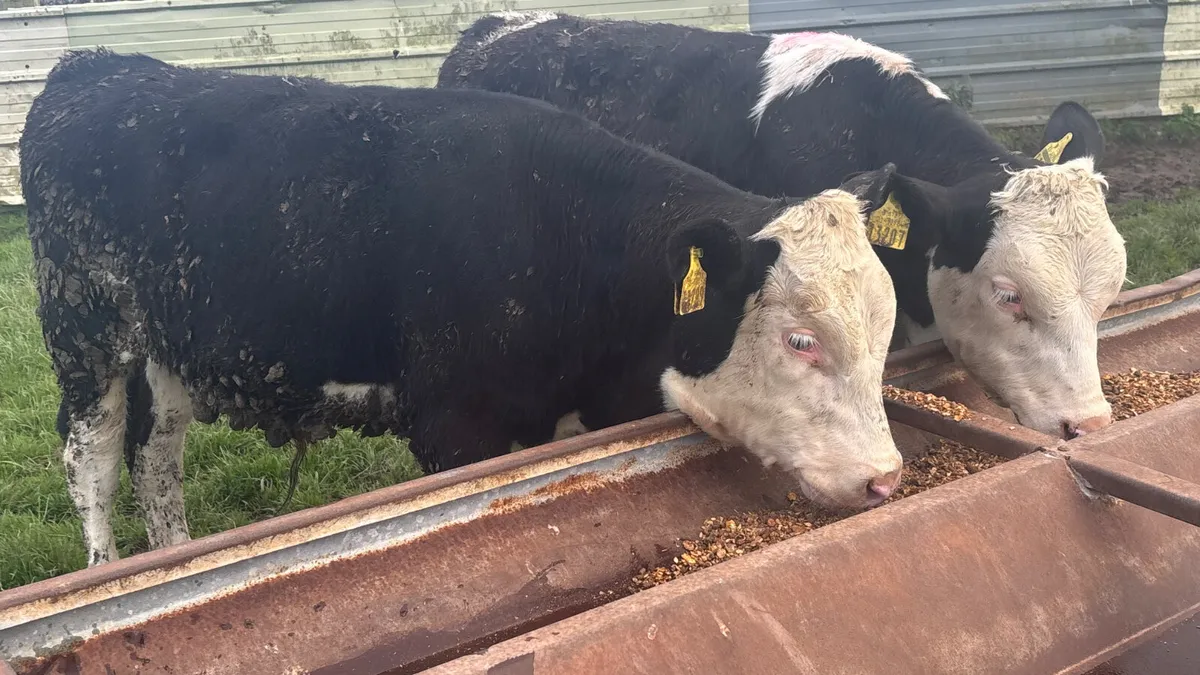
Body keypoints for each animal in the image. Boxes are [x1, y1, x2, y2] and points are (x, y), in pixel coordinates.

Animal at [22, 48, 903, 566]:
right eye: (800, 340)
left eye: (885, 333)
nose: (886, 479)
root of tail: (98, 65)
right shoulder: (454, 425)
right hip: (86, 336)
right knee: (94, 460)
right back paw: (109, 570)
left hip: (168, 350)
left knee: (156, 458)